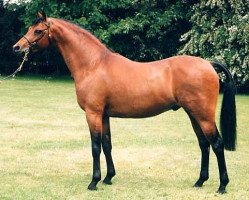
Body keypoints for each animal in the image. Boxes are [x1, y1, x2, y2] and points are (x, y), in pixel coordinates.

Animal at [12, 11, 236, 194]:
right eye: (30, 28)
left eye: (38, 30)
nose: (17, 47)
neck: (93, 64)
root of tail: (207, 63)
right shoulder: (103, 115)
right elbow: (107, 144)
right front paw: (108, 178)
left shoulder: (93, 113)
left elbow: (95, 146)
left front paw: (93, 182)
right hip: (192, 114)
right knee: (204, 144)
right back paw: (200, 181)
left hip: (203, 115)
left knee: (217, 144)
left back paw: (222, 186)